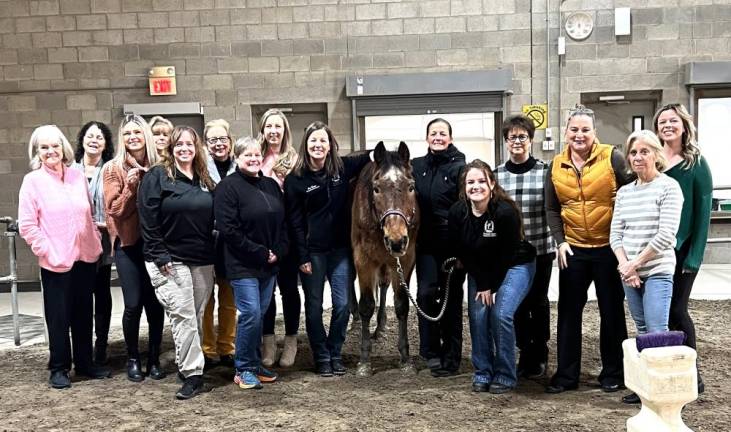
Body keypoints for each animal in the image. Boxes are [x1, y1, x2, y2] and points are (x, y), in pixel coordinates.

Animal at [354, 143, 420, 378]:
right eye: (376, 188)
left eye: (411, 186)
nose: (397, 240)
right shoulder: (363, 260)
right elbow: (366, 305)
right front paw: (364, 361)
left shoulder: (406, 259)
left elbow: (401, 304)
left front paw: (406, 359)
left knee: (383, 285)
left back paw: (381, 327)